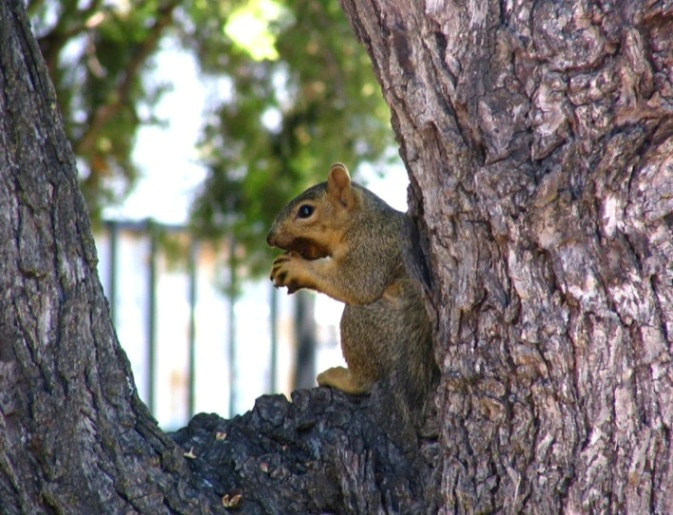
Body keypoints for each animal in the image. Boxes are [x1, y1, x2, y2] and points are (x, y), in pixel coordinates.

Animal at [267, 163, 438, 427]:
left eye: (305, 211)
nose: (270, 237)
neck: (359, 220)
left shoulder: (372, 248)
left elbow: (356, 282)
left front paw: (295, 268)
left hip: (361, 322)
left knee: (367, 380)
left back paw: (342, 378)